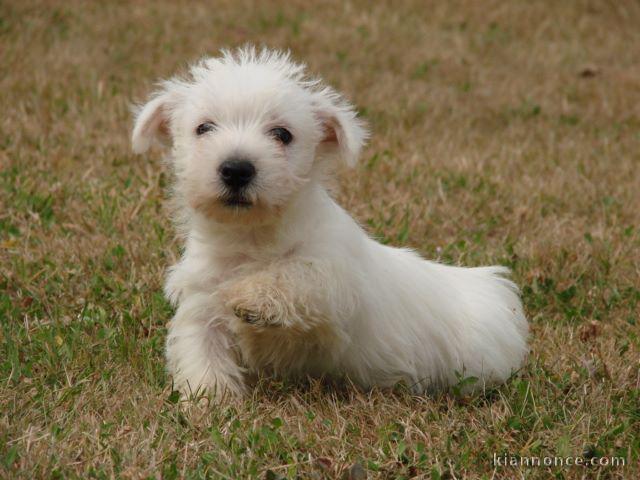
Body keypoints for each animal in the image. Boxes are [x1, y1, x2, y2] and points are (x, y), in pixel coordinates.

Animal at [131, 46, 528, 398]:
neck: (252, 239)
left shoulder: (333, 283)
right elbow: (202, 352)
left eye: (282, 134)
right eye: (204, 128)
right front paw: (209, 403)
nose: (237, 169)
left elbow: (295, 275)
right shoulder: (200, 302)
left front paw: (249, 296)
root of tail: (494, 289)